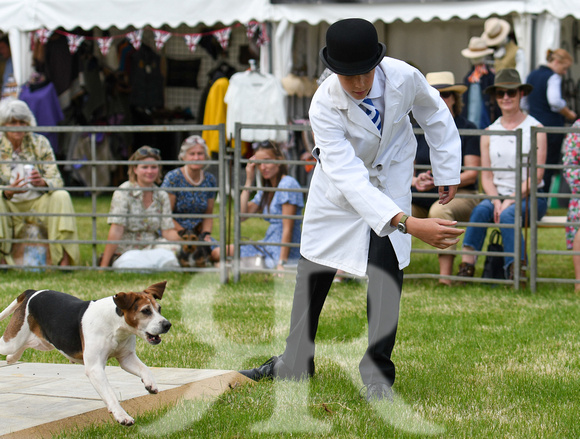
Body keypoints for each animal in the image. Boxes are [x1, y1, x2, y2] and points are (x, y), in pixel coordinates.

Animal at [0, 282, 171, 426]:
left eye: (159, 309)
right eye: (145, 311)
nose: (167, 324)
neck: (115, 324)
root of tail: (33, 292)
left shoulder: (126, 358)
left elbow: (145, 369)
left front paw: (150, 384)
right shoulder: (95, 368)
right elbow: (110, 394)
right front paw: (122, 416)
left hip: (44, 342)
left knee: (25, 346)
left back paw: (12, 358)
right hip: (11, 342)